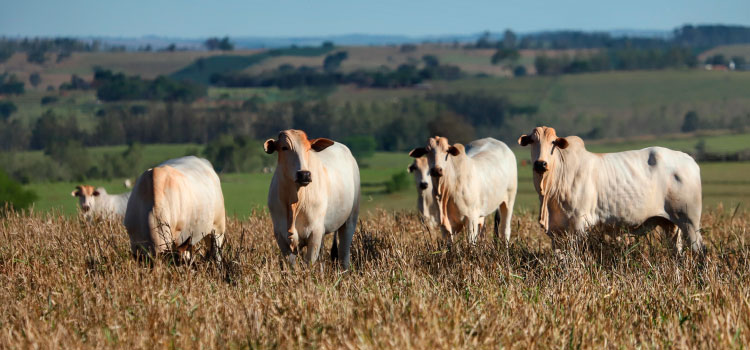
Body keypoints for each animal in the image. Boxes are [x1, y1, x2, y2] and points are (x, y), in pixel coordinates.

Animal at [264, 130, 362, 270]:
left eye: (308, 148)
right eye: (284, 147)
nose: (304, 174)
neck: (295, 201)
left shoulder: (315, 233)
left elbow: (309, 264)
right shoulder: (280, 235)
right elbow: (292, 265)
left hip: (350, 220)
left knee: (344, 254)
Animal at [520, 126, 708, 254]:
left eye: (553, 142)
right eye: (532, 141)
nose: (540, 164)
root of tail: (689, 159)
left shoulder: (579, 224)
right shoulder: (555, 232)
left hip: (690, 222)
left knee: (700, 250)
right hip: (671, 224)